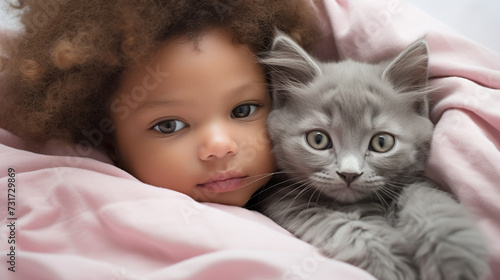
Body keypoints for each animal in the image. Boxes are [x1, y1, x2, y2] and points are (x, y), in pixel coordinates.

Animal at [254, 34, 488, 280]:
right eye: (318, 140)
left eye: (381, 142)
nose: (348, 174)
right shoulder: (285, 201)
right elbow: (350, 227)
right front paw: (397, 266)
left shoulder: (415, 182)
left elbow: (429, 201)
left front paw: (451, 250)